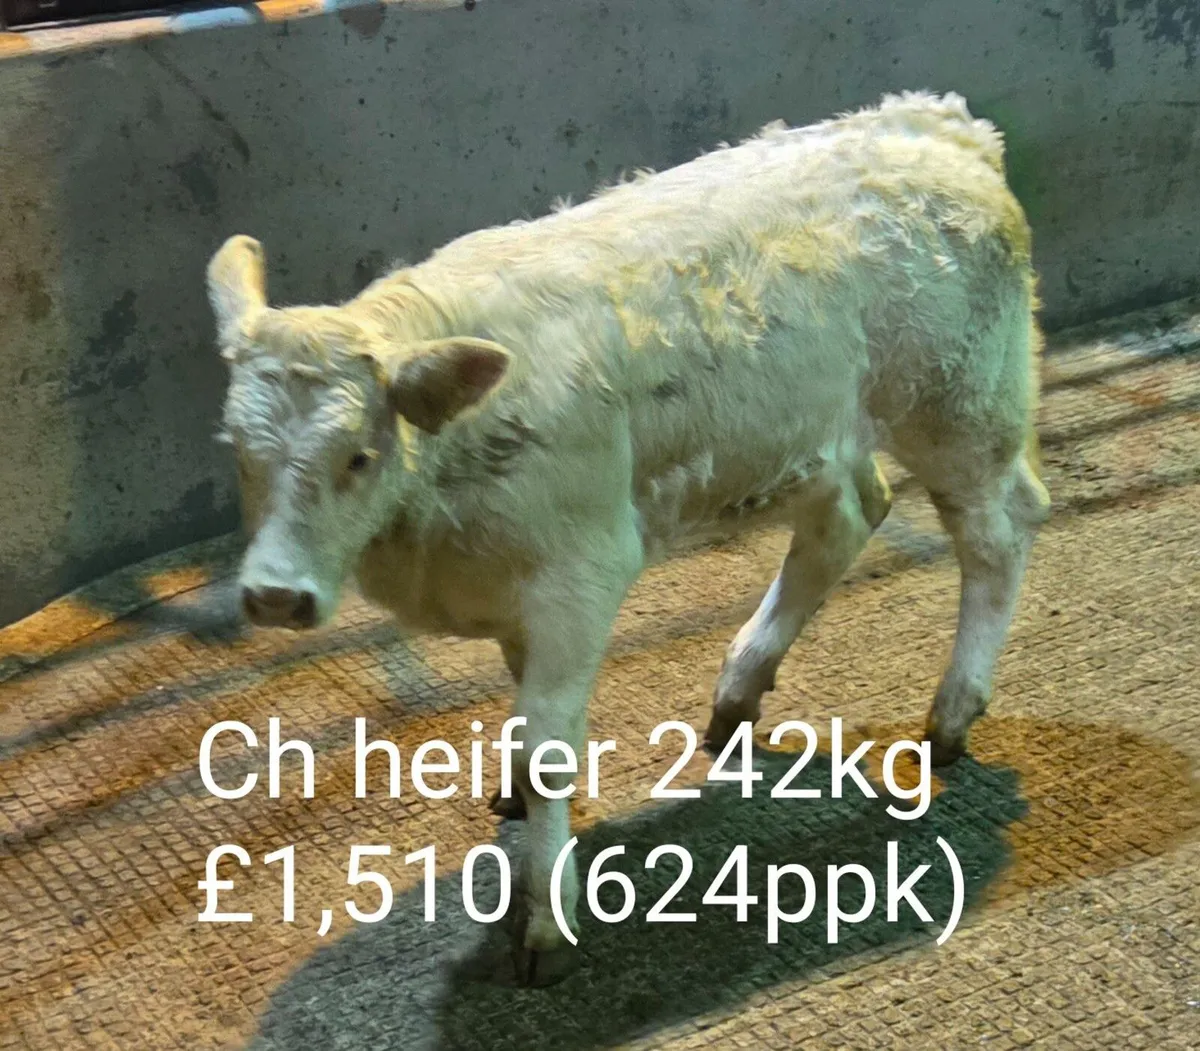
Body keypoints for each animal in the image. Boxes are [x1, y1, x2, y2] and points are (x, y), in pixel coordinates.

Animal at [206, 91, 1051, 985]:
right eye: (238, 451)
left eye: (358, 456)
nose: (274, 595)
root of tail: (936, 124)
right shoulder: (520, 589)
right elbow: (529, 713)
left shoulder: (582, 570)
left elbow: (546, 746)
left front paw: (548, 916)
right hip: (818, 430)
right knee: (847, 518)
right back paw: (740, 687)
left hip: (960, 405)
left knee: (997, 533)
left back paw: (953, 711)